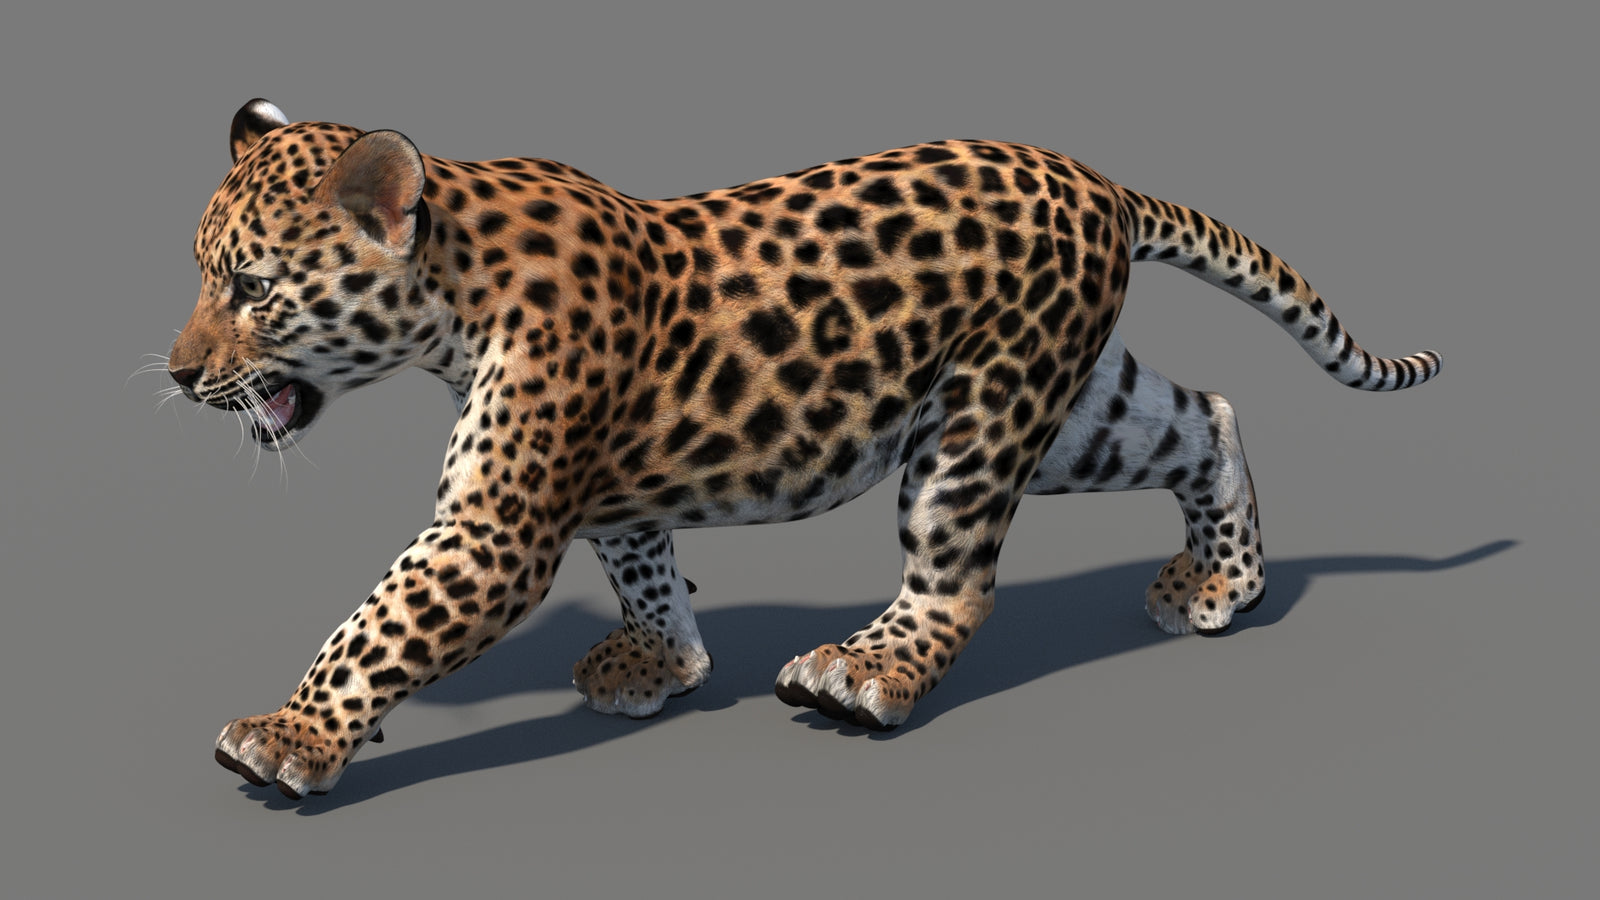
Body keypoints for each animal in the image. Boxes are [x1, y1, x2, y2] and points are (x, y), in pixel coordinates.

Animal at [169, 99, 1440, 800]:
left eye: (251, 288)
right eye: (201, 274)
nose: (179, 376)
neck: (450, 292)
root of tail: (1100, 182)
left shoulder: (493, 529)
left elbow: (379, 624)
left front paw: (288, 735)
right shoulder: (608, 488)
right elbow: (643, 562)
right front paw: (662, 662)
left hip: (976, 421)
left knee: (955, 576)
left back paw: (864, 673)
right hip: (1062, 402)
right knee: (1201, 413)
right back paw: (1223, 580)